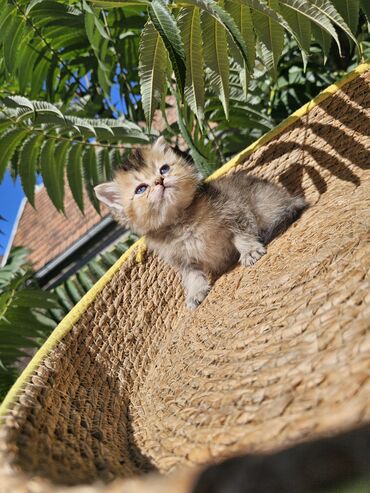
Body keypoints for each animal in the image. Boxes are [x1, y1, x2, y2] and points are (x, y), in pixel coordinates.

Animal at [95, 136, 306, 308]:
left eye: (164, 168)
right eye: (140, 189)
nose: (159, 180)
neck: (182, 221)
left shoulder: (234, 210)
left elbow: (241, 234)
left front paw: (250, 251)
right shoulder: (181, 259)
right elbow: (192, 276)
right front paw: (196, 293)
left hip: (264, 203)